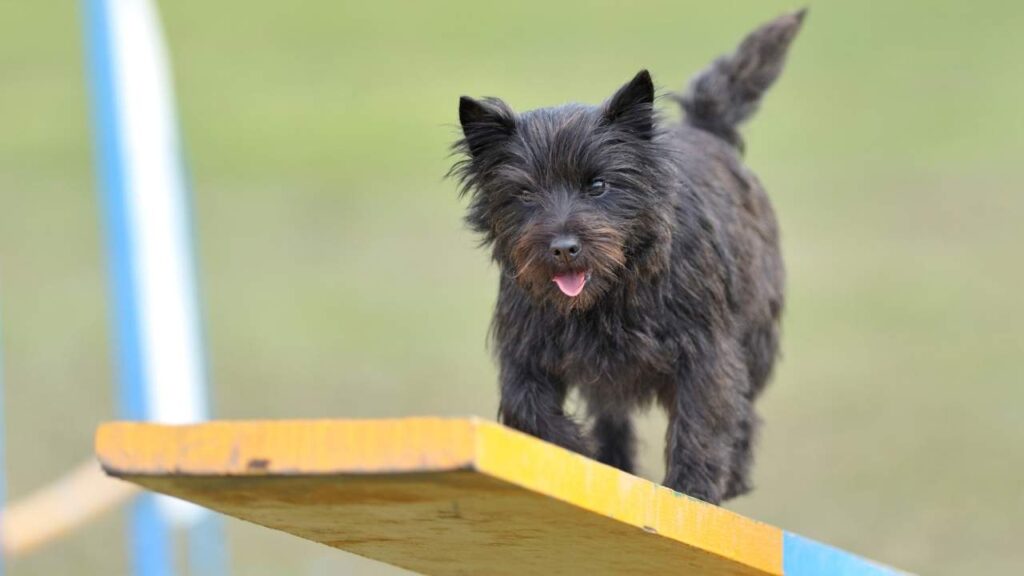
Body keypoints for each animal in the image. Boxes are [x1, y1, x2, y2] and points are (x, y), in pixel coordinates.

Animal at [452, 10, 802, 502]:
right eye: (524, 193)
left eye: (598, 185)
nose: (564, 247)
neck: (606, 297)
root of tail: (707, 129)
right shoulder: (525, 347)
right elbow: (527, 407)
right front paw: (578, 452)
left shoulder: (706, 349)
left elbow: (702, 420)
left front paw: (691, 491)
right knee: (612, 415)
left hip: (756, 333)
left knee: (743, 406)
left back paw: (731, 476)